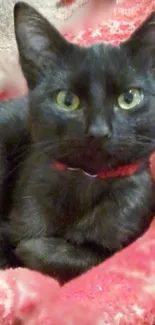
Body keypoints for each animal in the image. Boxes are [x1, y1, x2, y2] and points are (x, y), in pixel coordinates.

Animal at [0, 2, 155, 280]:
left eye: (129, 98)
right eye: (67, 100)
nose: (99, 131)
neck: (86, 180)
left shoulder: (127, 226)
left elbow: (82, 257)